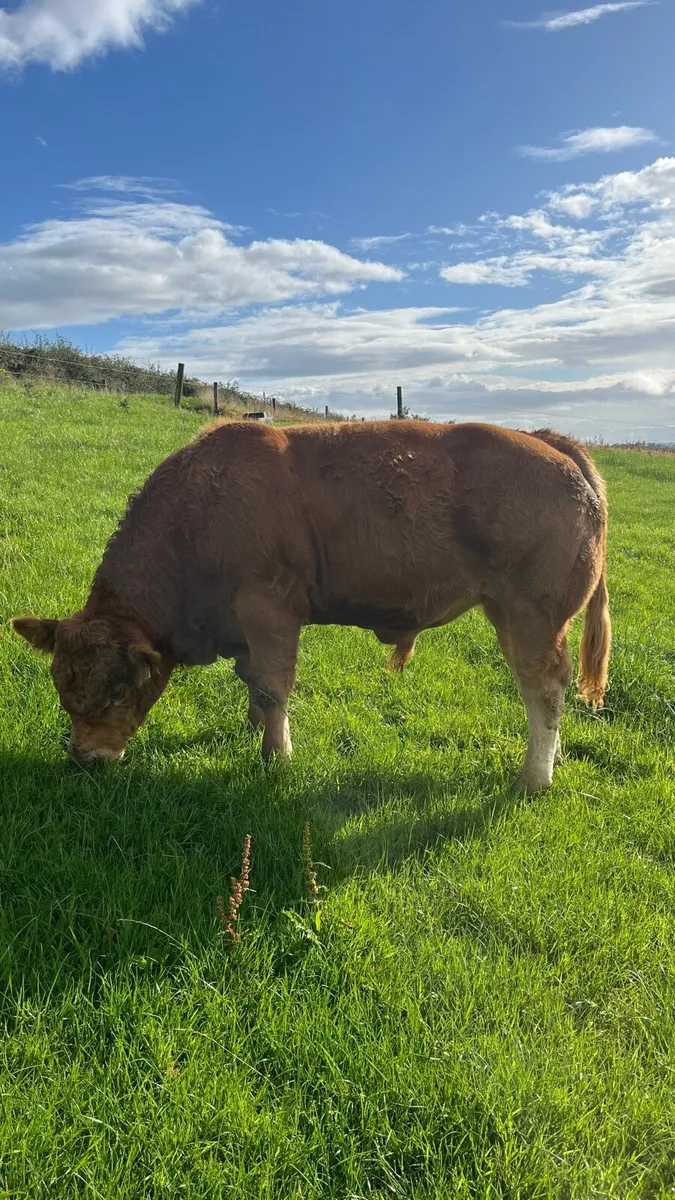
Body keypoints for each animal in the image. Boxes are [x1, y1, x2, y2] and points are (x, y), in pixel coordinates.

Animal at [13, 419, 611, 790]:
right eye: (61, 686)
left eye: (118, 689)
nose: (86, 759)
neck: (202, 509)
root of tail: (551, 442)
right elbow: (252, 680)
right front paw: (255, 729)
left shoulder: (270, 609)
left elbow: (273, 685)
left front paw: (276, 756)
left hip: (529, 617)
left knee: (544, 689)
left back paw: (534, 778)